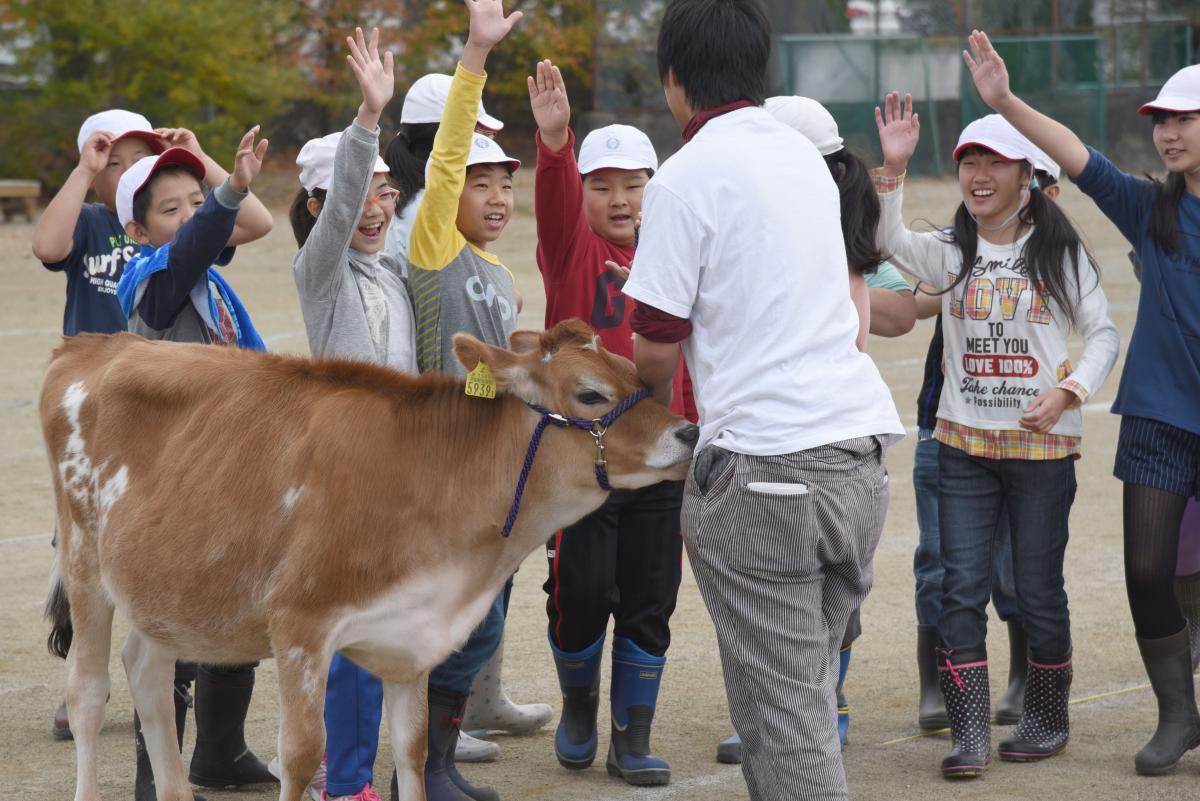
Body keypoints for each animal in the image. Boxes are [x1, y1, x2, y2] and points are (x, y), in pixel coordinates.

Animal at [42, 321, 700, 801]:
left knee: (148, 675)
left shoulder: (411, 636)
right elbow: (301, 755)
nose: (690, 433)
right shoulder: (300, 626)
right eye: (591, 394)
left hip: (168, 587)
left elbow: (412, 747)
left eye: (636, 373)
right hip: (84, 561)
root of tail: (96, 342)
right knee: (89, 693)